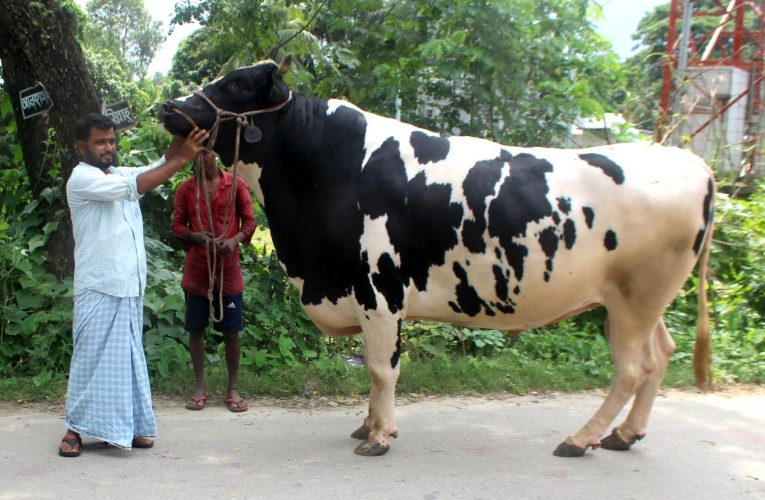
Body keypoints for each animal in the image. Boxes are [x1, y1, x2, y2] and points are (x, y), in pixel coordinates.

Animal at [161, 57, 716, 458]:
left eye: (236, 84)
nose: (168, 105)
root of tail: (689, 162)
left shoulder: (379, 291)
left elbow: (382, 370)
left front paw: (379, 437)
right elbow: (375, 370)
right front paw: (369, 426)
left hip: (634, 299)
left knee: (631, 370)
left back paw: (582, 439)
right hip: (643, 300)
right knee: (660, 355)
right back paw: (625, 435)